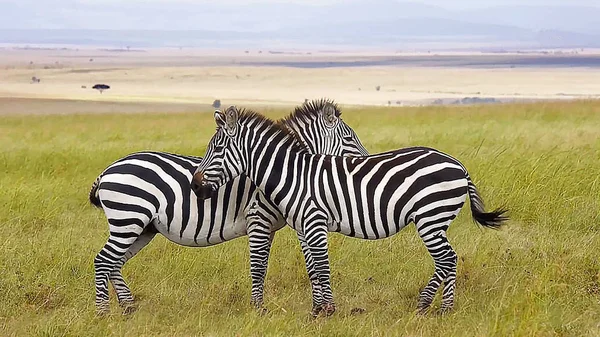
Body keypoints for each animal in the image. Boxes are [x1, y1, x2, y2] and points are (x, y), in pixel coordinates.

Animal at [89, 98, 368, 314]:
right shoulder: (259, 218)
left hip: (142, 227)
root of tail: (106, 170)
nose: (365, 161)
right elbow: (260, 265)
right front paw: (260, 310)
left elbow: (306, 264)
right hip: (128, 219)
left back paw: (128, 307)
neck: (288, 169)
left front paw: (316, 308)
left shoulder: (291, 221)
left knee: (115, 262)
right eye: (349, 137)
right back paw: (104, 313)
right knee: (104, 260)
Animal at [191, 105, 506, 316]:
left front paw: (328, 310)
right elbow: (313, 268)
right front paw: (317, 311)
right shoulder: (303, 226)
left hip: (431, 217)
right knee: (447, 261)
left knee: (448, 259)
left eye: (217, 149)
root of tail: (459, 165)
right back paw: (434, 307)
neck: (293, 174)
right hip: (435, 221)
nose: (195, 186)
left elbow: (322, 265)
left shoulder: (314, 221)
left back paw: (436, 307)